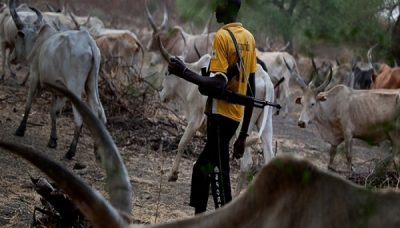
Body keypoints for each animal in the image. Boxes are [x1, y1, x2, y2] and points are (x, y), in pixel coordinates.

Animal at [9, 0, 106, 159]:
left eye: (17, 36)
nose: (13, 58)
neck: (39, 42)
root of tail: (89, 41)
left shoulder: (34, 77)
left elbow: (28, 104)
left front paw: (20, 130)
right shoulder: (59, 91)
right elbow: (53, 111)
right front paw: (53, 140)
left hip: (75, 87)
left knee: (79, 118)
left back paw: (71, 151)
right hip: (91, 84)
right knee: (99, 112)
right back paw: (99, 151)